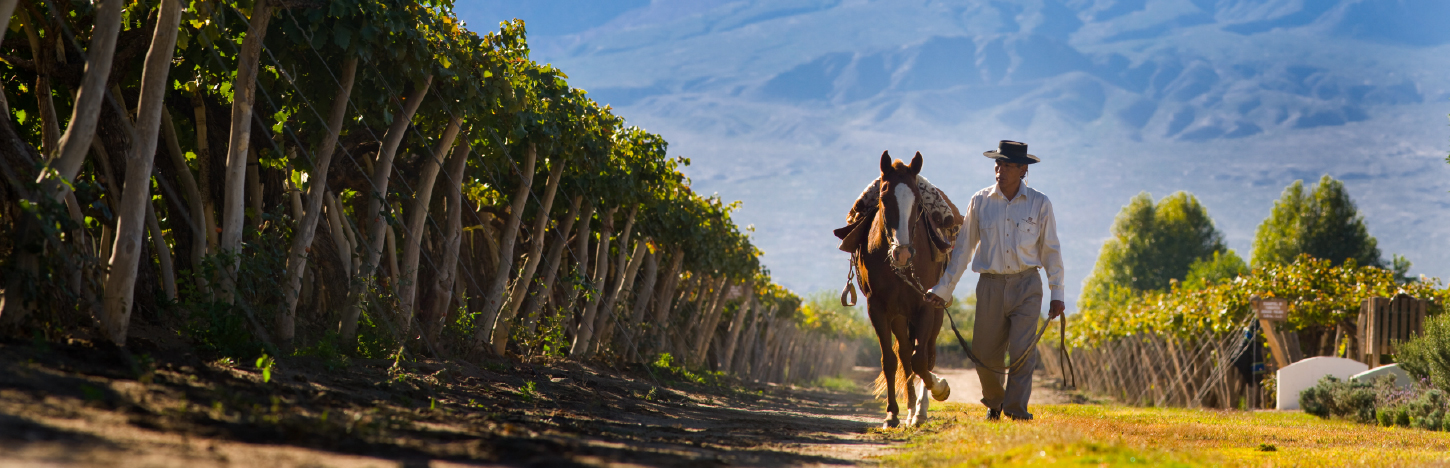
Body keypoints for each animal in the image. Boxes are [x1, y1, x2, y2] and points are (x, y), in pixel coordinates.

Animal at [846, 151, 951, 428]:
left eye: (917, 201)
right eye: (884, 198)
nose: (902, 253)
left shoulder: (926, 305)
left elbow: (921, 360)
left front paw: (940, 388)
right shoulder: (878, 309)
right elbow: (891, 361)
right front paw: (892, 414)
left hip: (934, 313)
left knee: (926, 354)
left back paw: (920, 410)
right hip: (899, 316)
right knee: (904, 354)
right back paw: (911, 409)